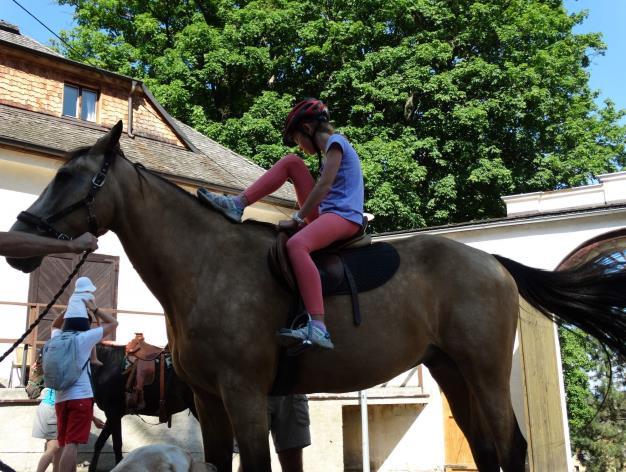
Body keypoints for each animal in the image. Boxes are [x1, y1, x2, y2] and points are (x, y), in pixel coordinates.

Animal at [6, 123, 624, 470]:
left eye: (70, 177)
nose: (21, 237)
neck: (205, 265)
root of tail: (490, 261)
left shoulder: (244, 396)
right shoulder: (207, 400)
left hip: (486, 372)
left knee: (511, 447)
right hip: (451, 369)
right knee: (486, 449)